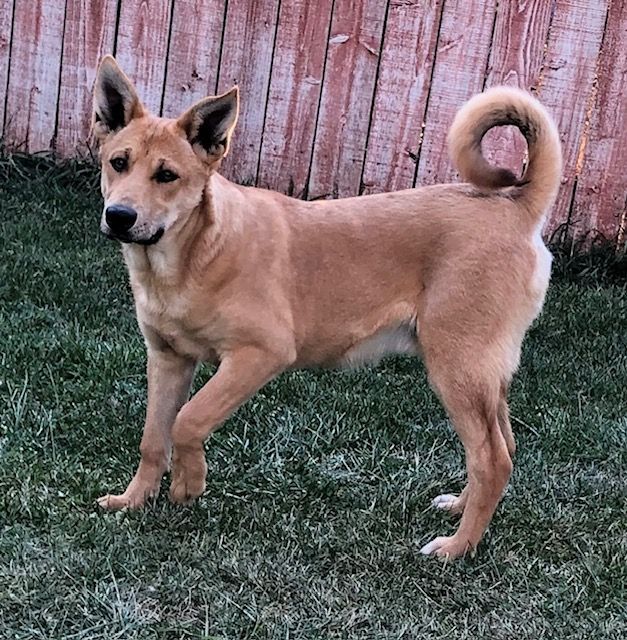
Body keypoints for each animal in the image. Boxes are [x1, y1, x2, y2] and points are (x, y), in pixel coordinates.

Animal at [93, 56, 564, 560]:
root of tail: (518, 207)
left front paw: (188, 483)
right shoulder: (167, 359)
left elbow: (188, 420)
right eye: (118, 163)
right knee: (503, 448)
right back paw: (459, 509)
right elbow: (153, 438)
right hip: (483, 376)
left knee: (491, 459)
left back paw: (457, 547)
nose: (119, 217)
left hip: (457, 368)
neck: (190, 256)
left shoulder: (261, 355)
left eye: (167, 176)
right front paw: (133, 500)